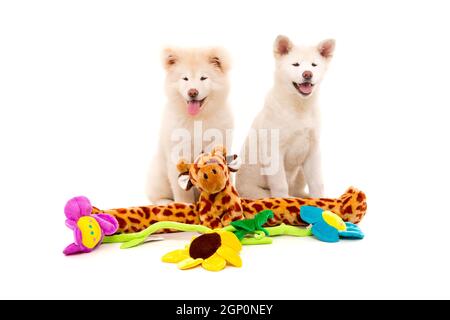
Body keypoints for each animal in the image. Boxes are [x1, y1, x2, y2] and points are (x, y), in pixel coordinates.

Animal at [147, 46, 234, 204]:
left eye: (203, 78)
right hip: (158, 176)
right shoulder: (179, 152)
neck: (197, 119)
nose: (192, 92)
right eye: (185, 78)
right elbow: (182, 189)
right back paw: (166, 202)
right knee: (157, 196)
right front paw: (185, 205)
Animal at [236, 36, 334, 199]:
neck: (299, 107)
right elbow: (280, 185)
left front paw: (321, 200)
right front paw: (283, 201)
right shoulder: (274, 151)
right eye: (295, 64)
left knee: (297, 191)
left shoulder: (313, 150)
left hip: (300, 174)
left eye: (314, 65)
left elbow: (317, 182)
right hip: (255, 191)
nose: (308, 74)